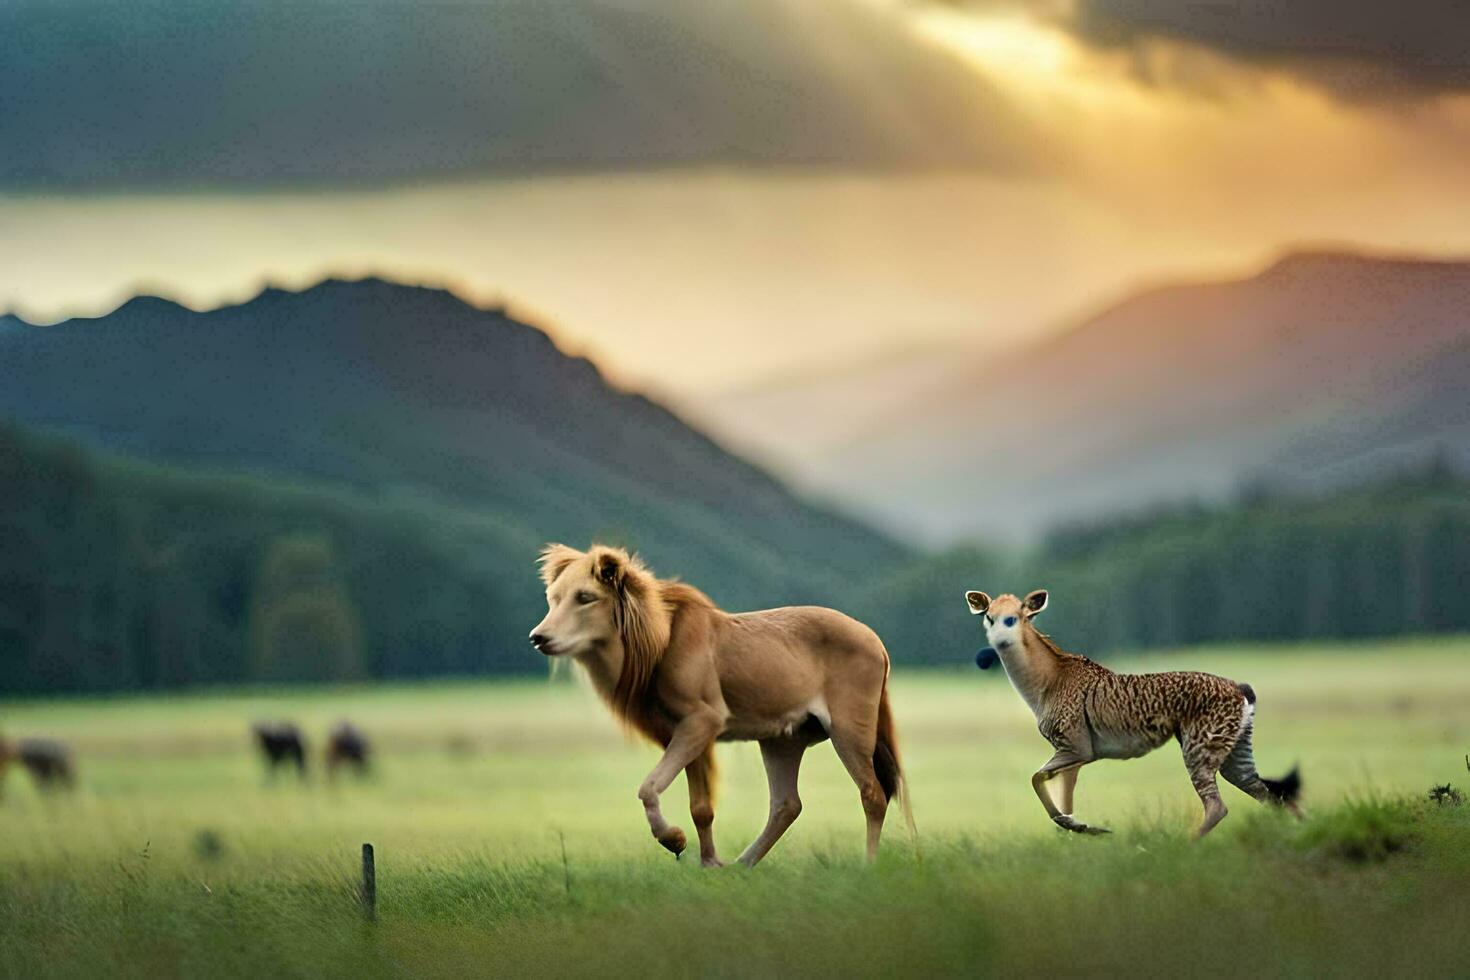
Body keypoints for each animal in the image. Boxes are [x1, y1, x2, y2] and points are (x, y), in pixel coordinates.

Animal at [529, 543, 905, 863]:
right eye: (553, 598)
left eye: (585, 597)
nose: (538, 637)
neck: (654, 645)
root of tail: (876, 640)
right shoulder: (683, 731)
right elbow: (701, 808)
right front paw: (709, 864)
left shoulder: (703, 720)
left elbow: (649, 787)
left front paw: (673, 839)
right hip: (782, 739)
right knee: (786, 804)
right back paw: (742, 865)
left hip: (849, 726)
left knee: (873, 794)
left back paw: (868, 866)